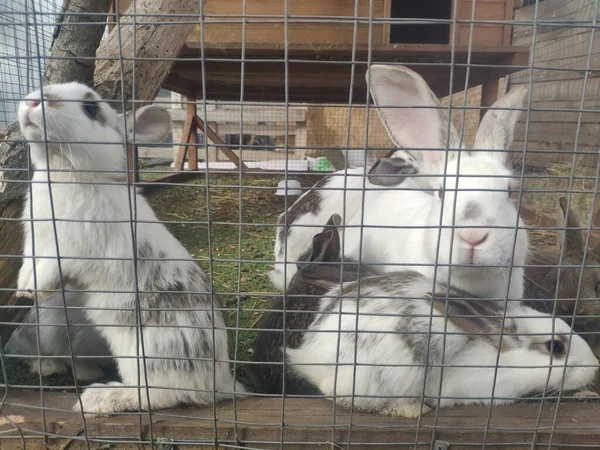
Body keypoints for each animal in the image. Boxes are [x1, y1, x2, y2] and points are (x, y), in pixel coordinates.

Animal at [17, 83, 245, 414]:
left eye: (91, 108)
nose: (34, 100)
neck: (64, 172)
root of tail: (220, 383)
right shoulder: (34, 241)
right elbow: (28, 263)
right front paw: (22, 286)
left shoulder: (70, 248)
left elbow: (50, 268)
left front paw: (33, 289)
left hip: (146, 357)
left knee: (158, 396)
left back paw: (99, 398)